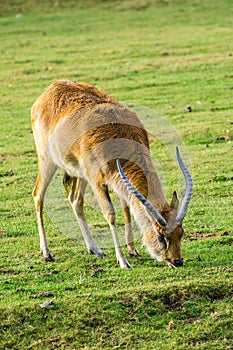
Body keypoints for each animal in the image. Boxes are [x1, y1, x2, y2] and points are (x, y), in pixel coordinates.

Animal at [31, 80, 193, 270]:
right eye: (161, 236)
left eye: (181, 232)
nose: (178, 261)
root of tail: (50, 90)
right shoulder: (98, 182)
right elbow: (111, 215)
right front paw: (123, 261)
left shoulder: (119, 180)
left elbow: (127, 208)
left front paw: (133, 250)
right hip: (47, 161)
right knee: (38, 195)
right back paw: (47, 253)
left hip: (79, 174)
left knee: (75, 200)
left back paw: (95, 249)